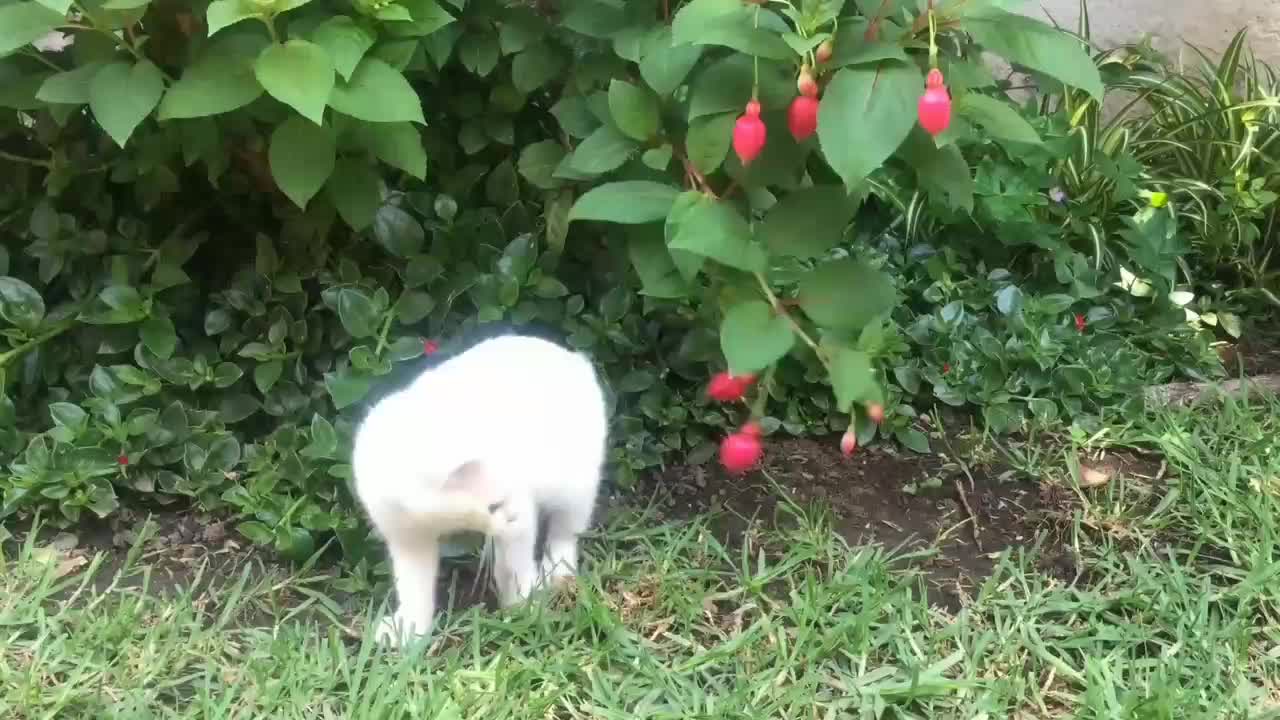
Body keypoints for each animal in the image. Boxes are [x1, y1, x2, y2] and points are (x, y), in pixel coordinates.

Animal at [350, 335, 609, 645]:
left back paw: (557, 572)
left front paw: (523, 608)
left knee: (565, 530)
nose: (513, 518)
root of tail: (573, 358)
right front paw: (409, 629)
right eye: (493, 506)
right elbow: (414, 585)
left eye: (502, 502)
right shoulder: (405, 536)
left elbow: (515, 566)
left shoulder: (522, 512)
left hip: (575, 483)